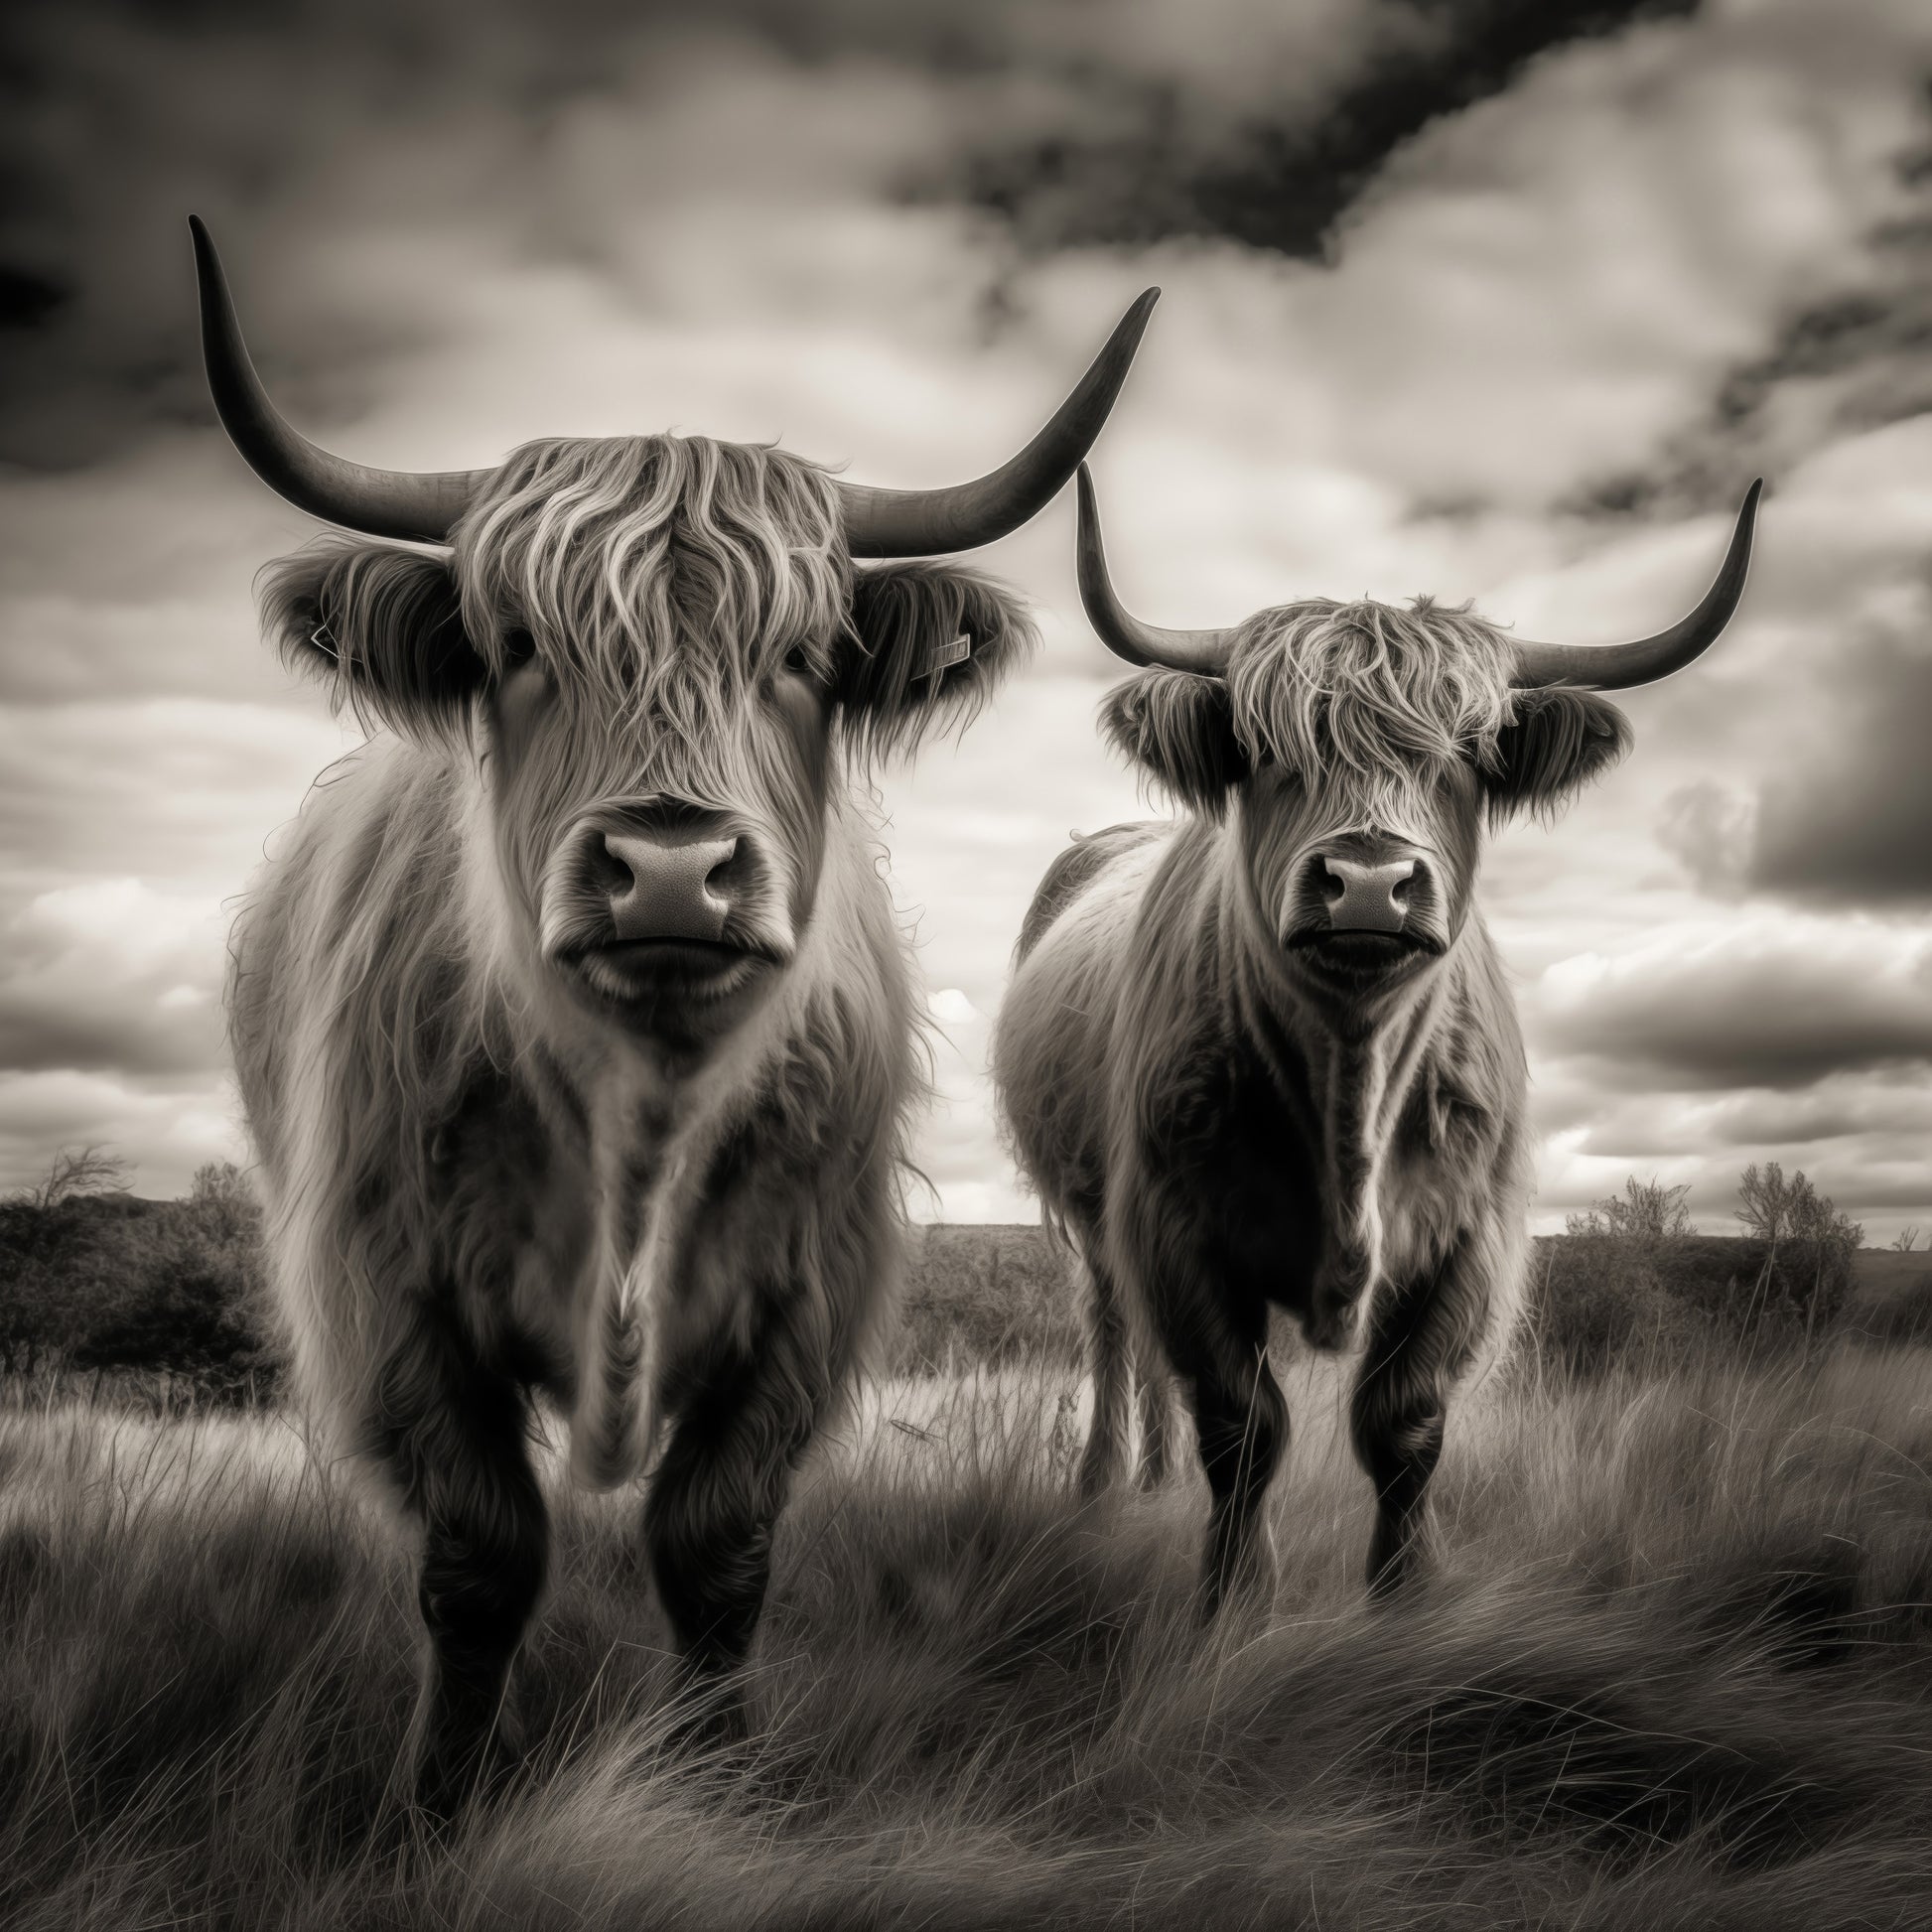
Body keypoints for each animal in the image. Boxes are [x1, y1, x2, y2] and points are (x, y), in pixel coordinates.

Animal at [188, 217, 1156, 1814]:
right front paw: (440, 1802)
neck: (639, 1109)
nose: (668, 869)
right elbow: (476, 1555)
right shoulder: (386, 1293)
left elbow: (717, 1550)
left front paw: (723, 1786)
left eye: (808, 655)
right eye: (517, 640)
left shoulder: (805, 1298)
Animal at [994, 463, 1759, 1618]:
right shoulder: (1172, 1222)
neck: (1347, 1080)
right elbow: (1243, 1423)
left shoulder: (1473, 1240)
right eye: (1265, 751)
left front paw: (1404, 1599)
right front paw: (1234, 1599)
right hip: (1089, 1212)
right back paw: (1104, 1484)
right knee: (1115, 1331)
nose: (1366, 882)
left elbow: (1402, 1423)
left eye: (1471, 756)